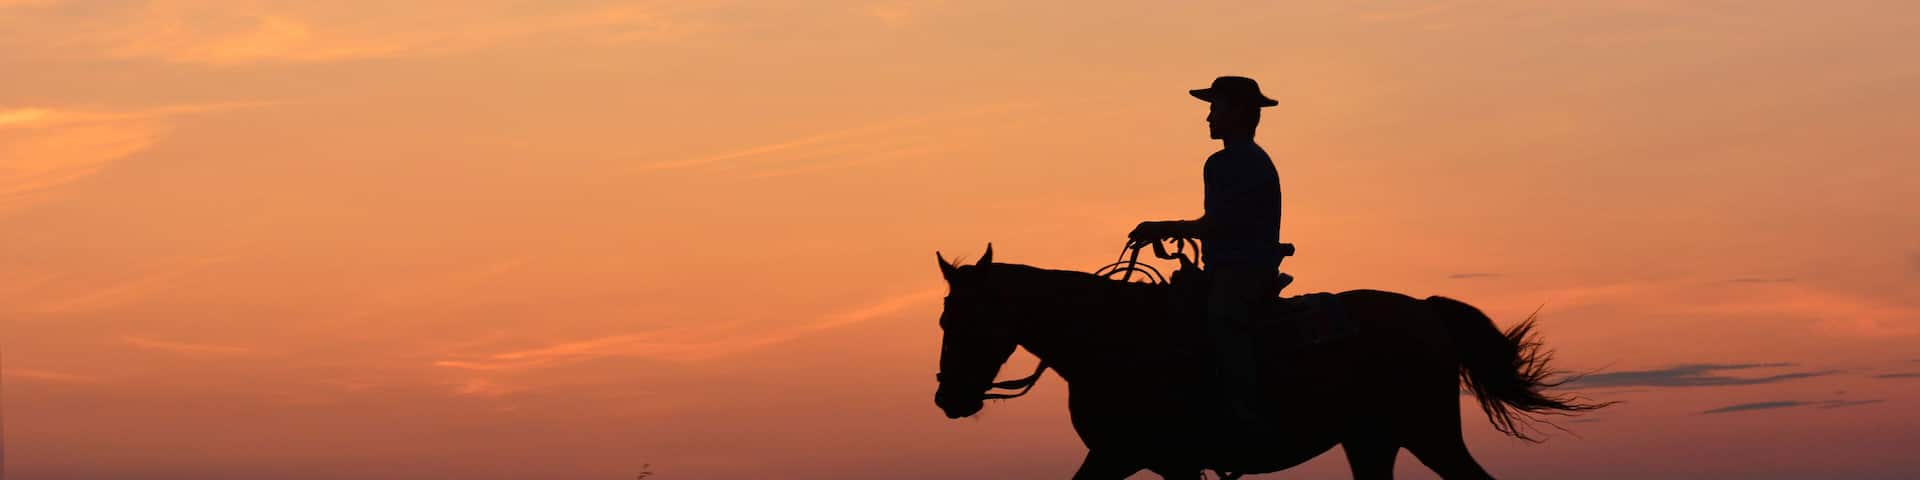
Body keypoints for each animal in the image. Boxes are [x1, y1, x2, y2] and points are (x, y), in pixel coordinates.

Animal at [931, 245, 1607, 479]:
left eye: (970, 322)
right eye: (942, 321)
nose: (948, 398)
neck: (1114, 340)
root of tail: (1426, 310)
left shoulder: (1154, 460)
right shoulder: (1128, 459)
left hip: (1429, 433)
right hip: (1372, 441)